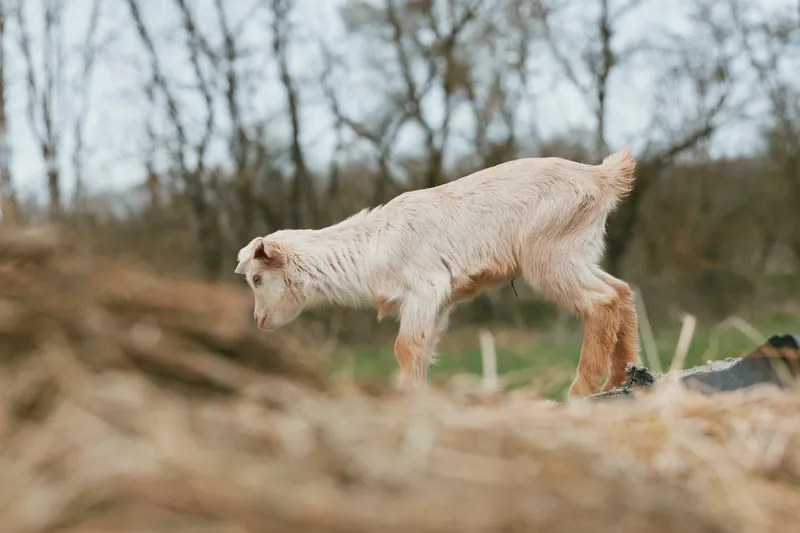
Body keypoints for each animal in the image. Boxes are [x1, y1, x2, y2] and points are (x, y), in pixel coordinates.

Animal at [235, 147, 640, 398]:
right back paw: (621, 377)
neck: (372, 247)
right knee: (621, 291)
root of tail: (603, 176)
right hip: (579, 253)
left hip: (551, 256)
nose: (258, 320)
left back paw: (580, 390)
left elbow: (404, 348)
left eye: (256, 278)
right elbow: (424, 349)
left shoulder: (424, 289)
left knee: (600, 302)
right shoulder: (440, 303)